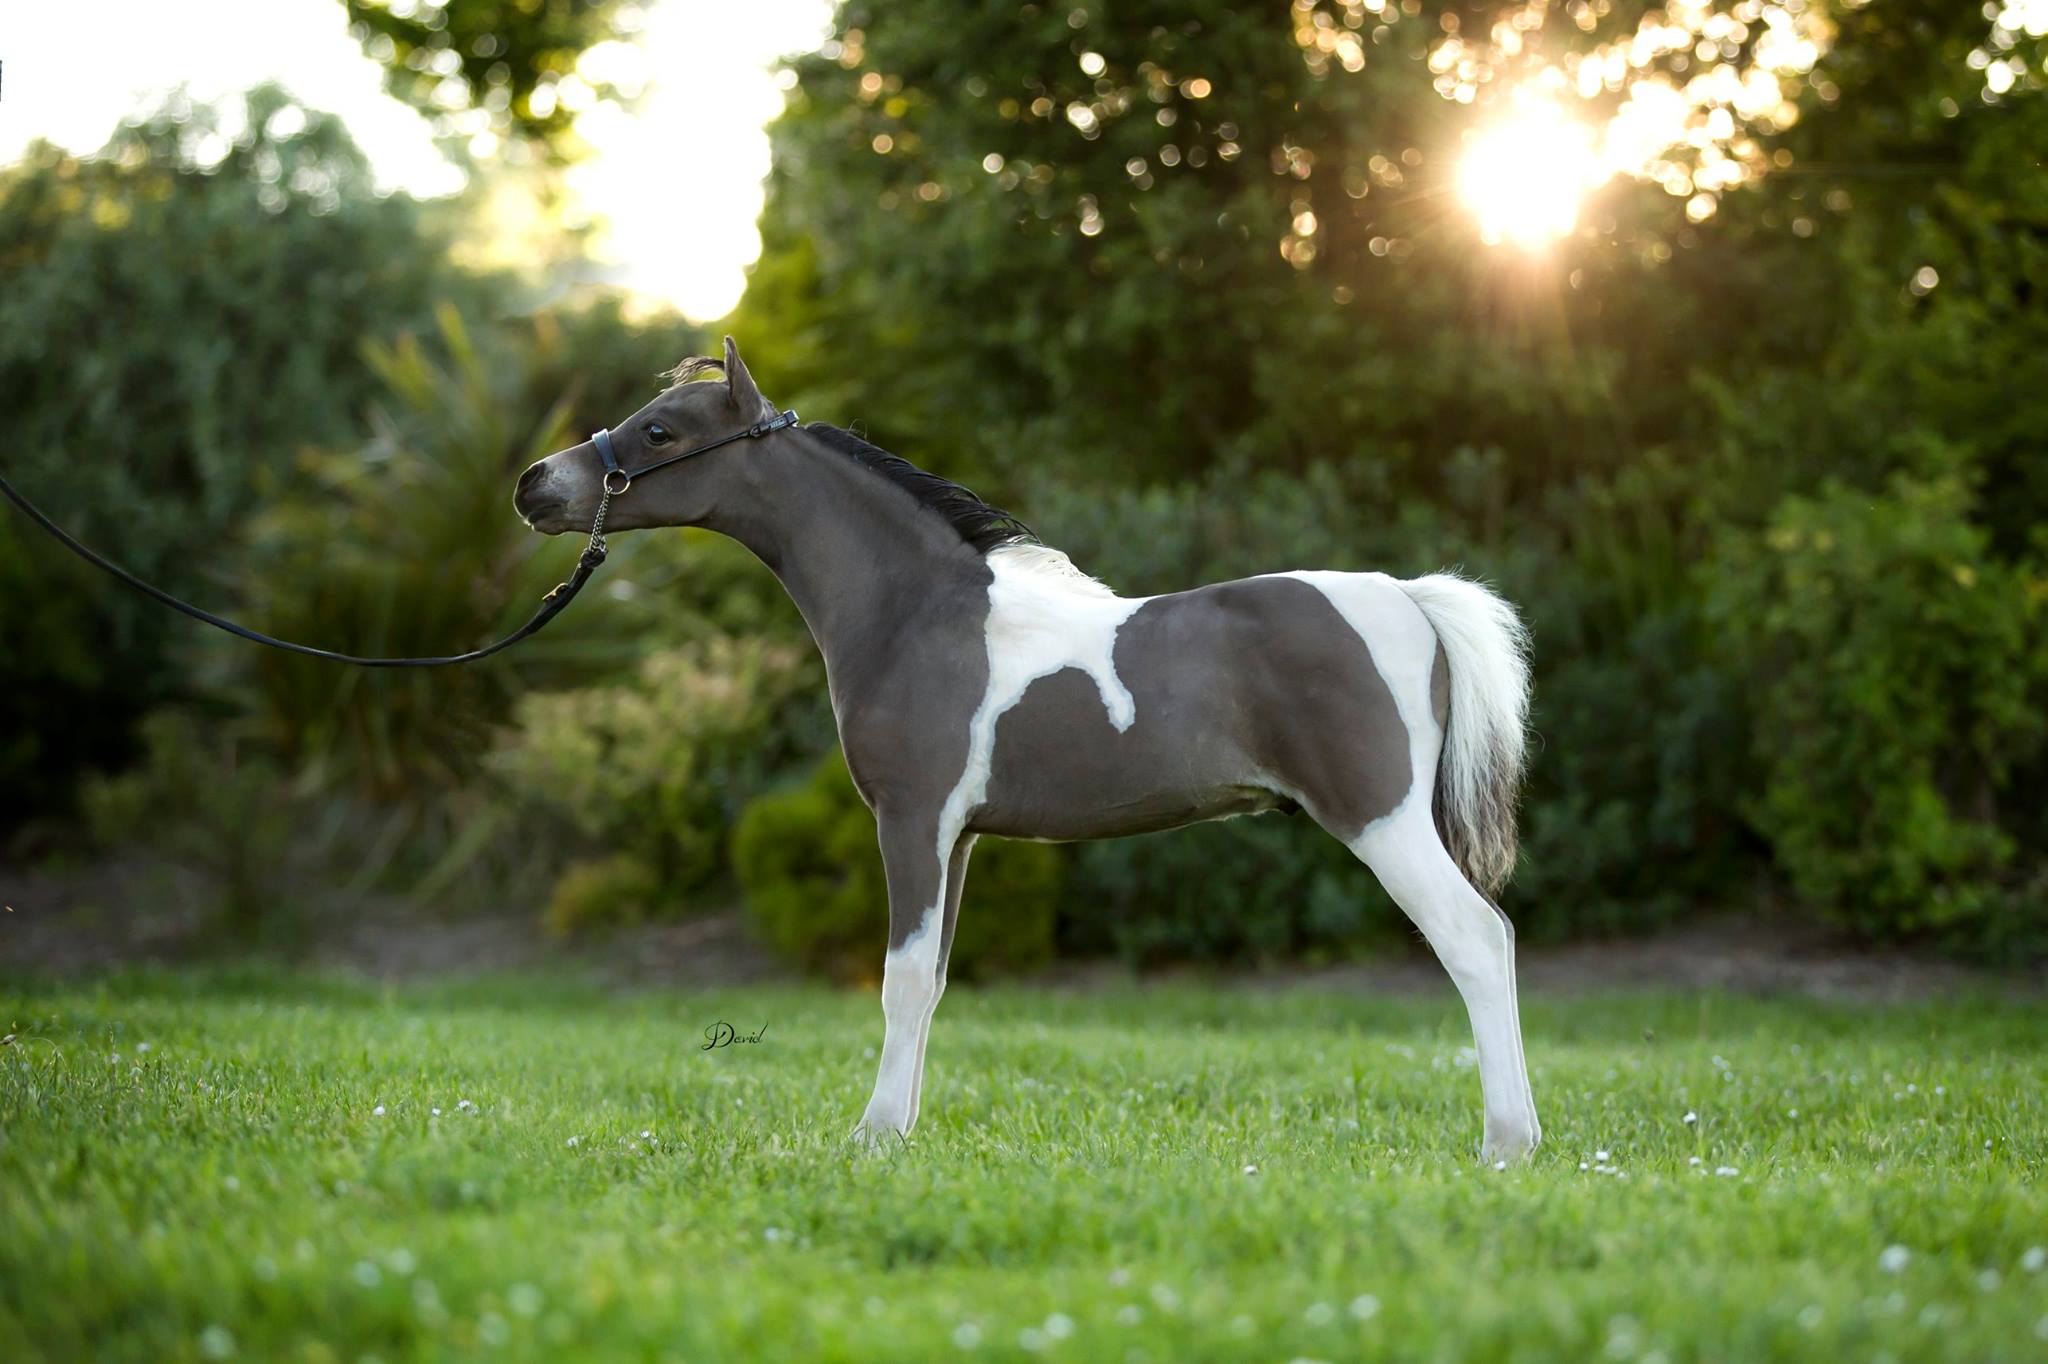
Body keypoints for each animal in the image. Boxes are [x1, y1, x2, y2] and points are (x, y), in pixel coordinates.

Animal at [514, 338, 1542, 1162]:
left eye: (659, 432)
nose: (535, 485)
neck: (919, 612)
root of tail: (1410, 598)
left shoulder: (913, 819)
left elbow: (898, 980)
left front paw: (873, 1136)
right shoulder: (960, 836)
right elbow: (930, 982)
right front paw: (903, 1130)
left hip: (1383, 821)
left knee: (1476, 939)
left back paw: (1507, 1144)